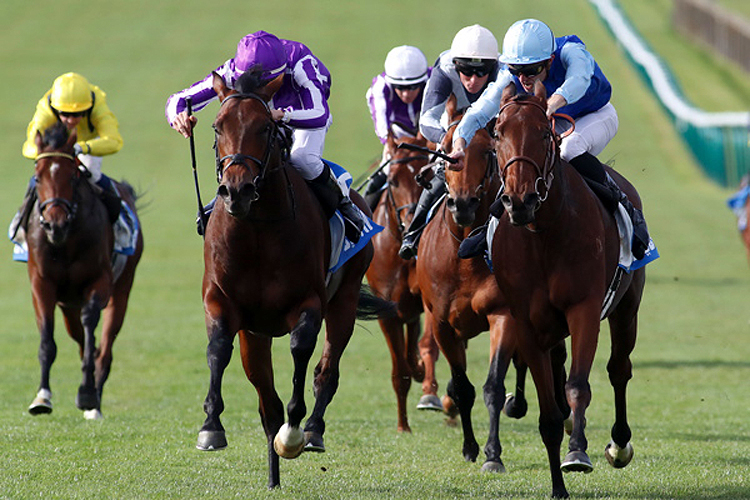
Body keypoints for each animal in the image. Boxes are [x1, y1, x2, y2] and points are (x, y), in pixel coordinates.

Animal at [25, 120, 144, 418]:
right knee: (78, 337)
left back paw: (95, 402)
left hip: (121, 291)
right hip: (68, 304)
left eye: (72, 177)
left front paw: (88, 393)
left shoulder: (99, 280)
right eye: (38, 176)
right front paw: (42, 397)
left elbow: (92, 324)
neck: (66, 240)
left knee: (105, 348)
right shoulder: (41, 283)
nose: (54, 224)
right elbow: (47, 341)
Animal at [197, 72, 396, 490]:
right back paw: (273, 475)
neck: (257, 230)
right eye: (217, 126)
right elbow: (218, 348)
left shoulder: (308, 303)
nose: (236, 190)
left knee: (327, 370)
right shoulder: (222, 301)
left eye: (265, 127)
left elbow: (302, 351)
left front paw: (293, 433)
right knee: (265, 398)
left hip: (344, 301)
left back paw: (313, 431)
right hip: (255, 334)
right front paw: (211, 426)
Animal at [366, 133, 444, 434]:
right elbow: (400, 372)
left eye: (424, 177)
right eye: (394, 180)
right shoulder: (388, 311)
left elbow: (428, 344)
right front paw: (403, 427)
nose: (412, 221)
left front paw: (430, 392)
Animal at [414, 95, 536, 474]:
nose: (464, 203)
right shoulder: (442, 322)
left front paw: (493, 454)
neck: (463, 256)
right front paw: (470, 446)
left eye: (486, 150)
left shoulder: (504, 315)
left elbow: (493, 386)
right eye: (445, 150)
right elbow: (462, 387)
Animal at [490, 81, 648, 496]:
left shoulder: (584, 310)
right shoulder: (526, 324)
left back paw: (619, 444)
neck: (542, 235)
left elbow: (579, 385)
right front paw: (558, 487)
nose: (520, 199)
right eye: (497, 133)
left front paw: (577, 452)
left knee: (618, 369)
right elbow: (547, 414)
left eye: (544, 134)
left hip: (627, 307)